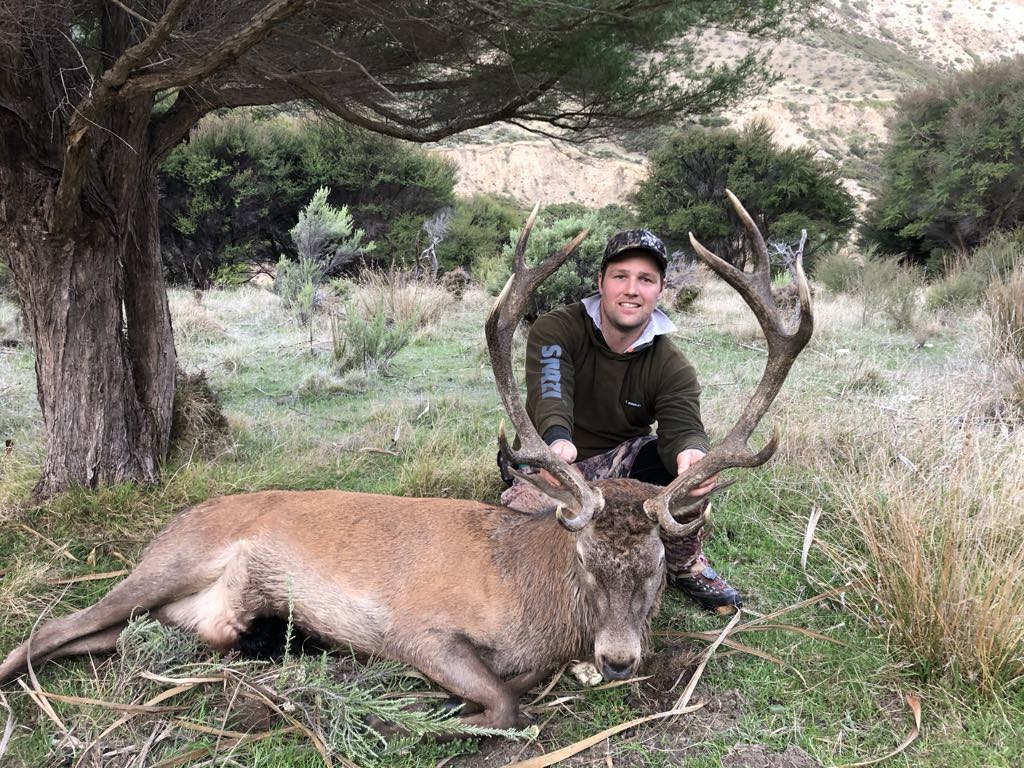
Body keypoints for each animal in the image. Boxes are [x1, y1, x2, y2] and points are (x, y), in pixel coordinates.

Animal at [0, 191, 812, 733]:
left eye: (653, 569)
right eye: (584, 561)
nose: (616, 658)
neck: (534, 601)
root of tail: (174, 521)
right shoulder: (415, 628)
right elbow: (506, 703)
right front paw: (446, 710)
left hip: (177, 609)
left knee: (101, 635)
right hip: (173, 558)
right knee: (50, 626)